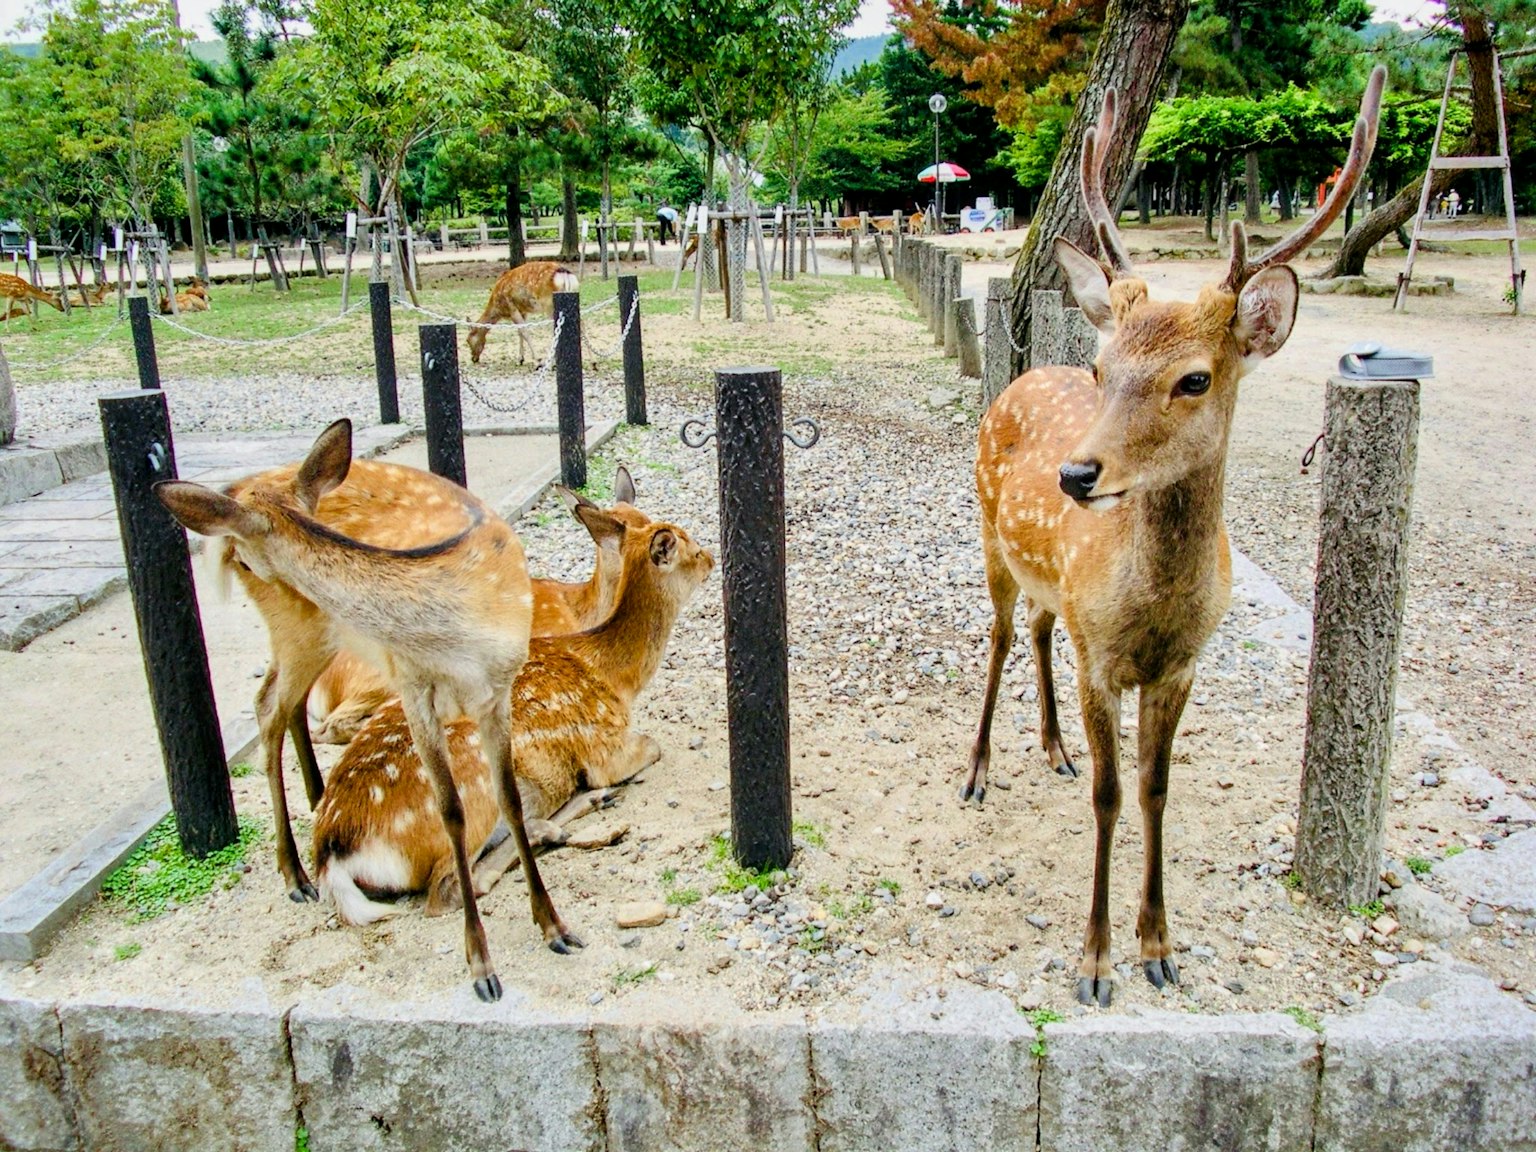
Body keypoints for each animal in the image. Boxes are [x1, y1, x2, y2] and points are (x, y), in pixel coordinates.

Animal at [157, 419, 578, 1001]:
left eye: (240, 550)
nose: (236, 563)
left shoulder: (498, 686)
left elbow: (511, 799)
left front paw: (555, 927)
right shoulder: (413, 686)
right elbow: (450, 810)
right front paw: (481, 965)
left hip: (317, 631)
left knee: (279, 701)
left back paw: (314, 809)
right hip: (303, 627)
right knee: (267, 706)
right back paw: (296, 876)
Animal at [312, 509, 713, 925]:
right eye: (692, 548)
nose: (713, 560)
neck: (614, 676)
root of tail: (333, 851)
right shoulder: (605, 745)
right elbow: (652, 745)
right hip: (473, 789)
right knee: (446, 891)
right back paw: (553, 824)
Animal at [965, 68, 1386, 1007]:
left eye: (1194, 378)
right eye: (1101, 367)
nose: (1076, 476)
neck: (1151, 611)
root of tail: (1015, 381)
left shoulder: (1181, 664)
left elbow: (1157, 791)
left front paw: (1160, 945)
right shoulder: (1103, 661)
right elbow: (1112, 796)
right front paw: (1094, 960)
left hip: (1049, 582)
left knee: (1039, 629)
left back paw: (1051, 748)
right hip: (987, 536)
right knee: (1003, 635)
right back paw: (977, 771)